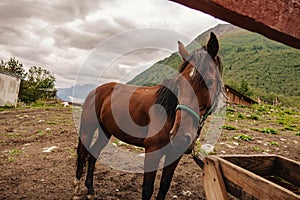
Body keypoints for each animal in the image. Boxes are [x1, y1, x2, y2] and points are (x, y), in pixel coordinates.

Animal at [72, 32, 223, 199]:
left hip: (106, 131)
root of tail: (96, 90)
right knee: (82, 154)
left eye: (210, 82)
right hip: (88, 128)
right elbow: (147, 189)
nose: (179, 135)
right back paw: (77, 190)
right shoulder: (152, 152)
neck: (168, 113)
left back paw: (90, 190)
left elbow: (164, 186)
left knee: (93, 155)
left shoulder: (174, 155)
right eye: (179, 83)